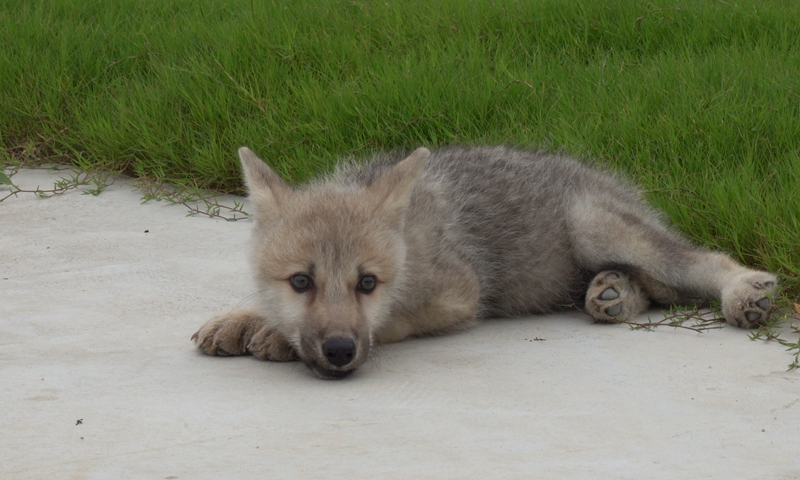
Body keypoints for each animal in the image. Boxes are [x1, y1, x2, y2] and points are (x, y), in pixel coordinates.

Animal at [192, 146, 777, 379]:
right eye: (300, 281)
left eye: (368, 284)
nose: (339, 352)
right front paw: (247, 317)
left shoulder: (460, 297)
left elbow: (392, 322)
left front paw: (273, 334)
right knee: (655, 288)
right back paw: (612, 292)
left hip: (595, 225)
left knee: (697, 263)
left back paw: (743, 291)